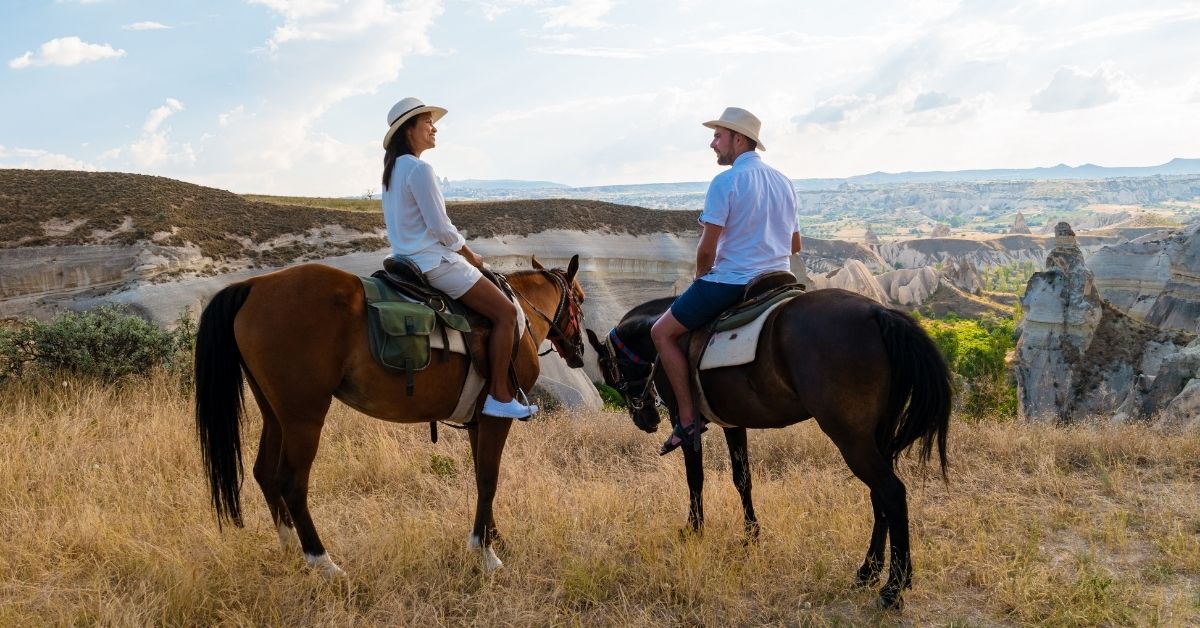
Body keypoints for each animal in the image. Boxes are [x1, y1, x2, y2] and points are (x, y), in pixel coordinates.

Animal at [194, 254, 583, 573]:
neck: (518, 315)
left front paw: (493, 537)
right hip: (303, 418)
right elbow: (489, 478)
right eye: (580, 299)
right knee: (291, 481)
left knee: (264, 473)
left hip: (275, 415)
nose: (579, 350)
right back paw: (323, 562)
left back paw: (290, 548)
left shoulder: (477, 421)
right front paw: (486, 552)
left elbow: (480, 477)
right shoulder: (494, 418)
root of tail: (254, 285)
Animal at [585, 289, 950, 609]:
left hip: (851, 438)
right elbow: (742, 479)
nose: (645, 419)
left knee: (891, 492)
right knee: (879, 497)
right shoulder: (733, 424)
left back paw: (893, 588)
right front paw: (751, 536)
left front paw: (694, 530)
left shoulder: (685, 423)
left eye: (613, 372)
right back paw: (868, 571)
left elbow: (695, 479)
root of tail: (878, 312)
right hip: (876, 436)